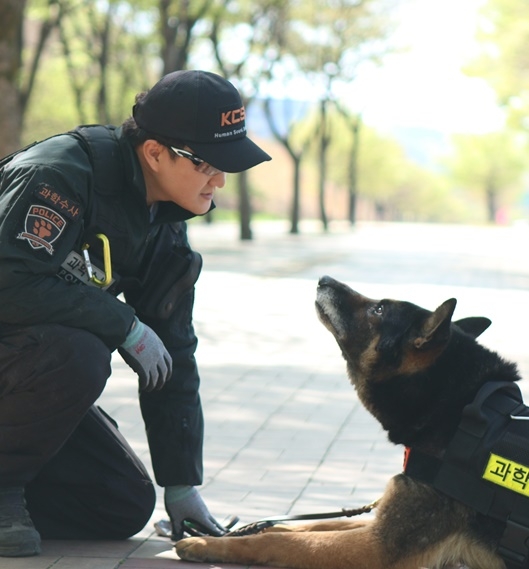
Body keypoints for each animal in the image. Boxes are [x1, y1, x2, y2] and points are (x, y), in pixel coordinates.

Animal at [174, 276, 520, 568]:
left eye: (378, 309)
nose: (324, 279)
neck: (452, 406)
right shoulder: (375, 524)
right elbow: (317, 524)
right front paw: (252, 529)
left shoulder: (376, 547)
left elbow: (280, 541)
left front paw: (208, 544)